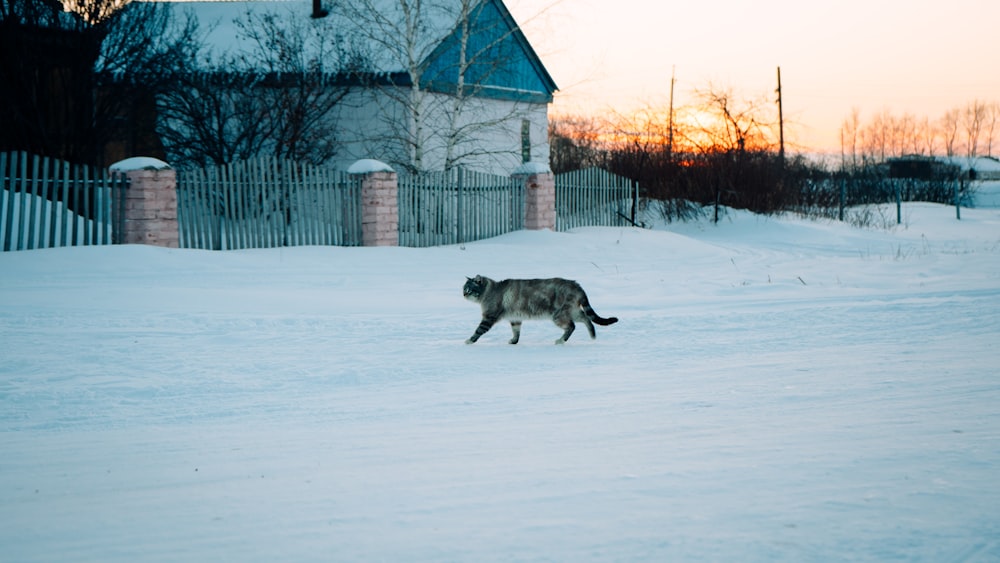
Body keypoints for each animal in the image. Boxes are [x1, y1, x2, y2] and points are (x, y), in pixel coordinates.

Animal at [462, 276, 616, 346]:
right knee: (587, 319)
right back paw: (593, 336)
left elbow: (478, 330)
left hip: (559, 315)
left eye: (468, 289)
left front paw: (470, 340)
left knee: (572, 326)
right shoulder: (515, 319)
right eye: (463, 289)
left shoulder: (489, 317)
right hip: (572, 311)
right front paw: (514, 341)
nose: (463, 294)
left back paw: (561, 340)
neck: (489, 291)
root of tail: (577, 285)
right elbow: (516, 332)